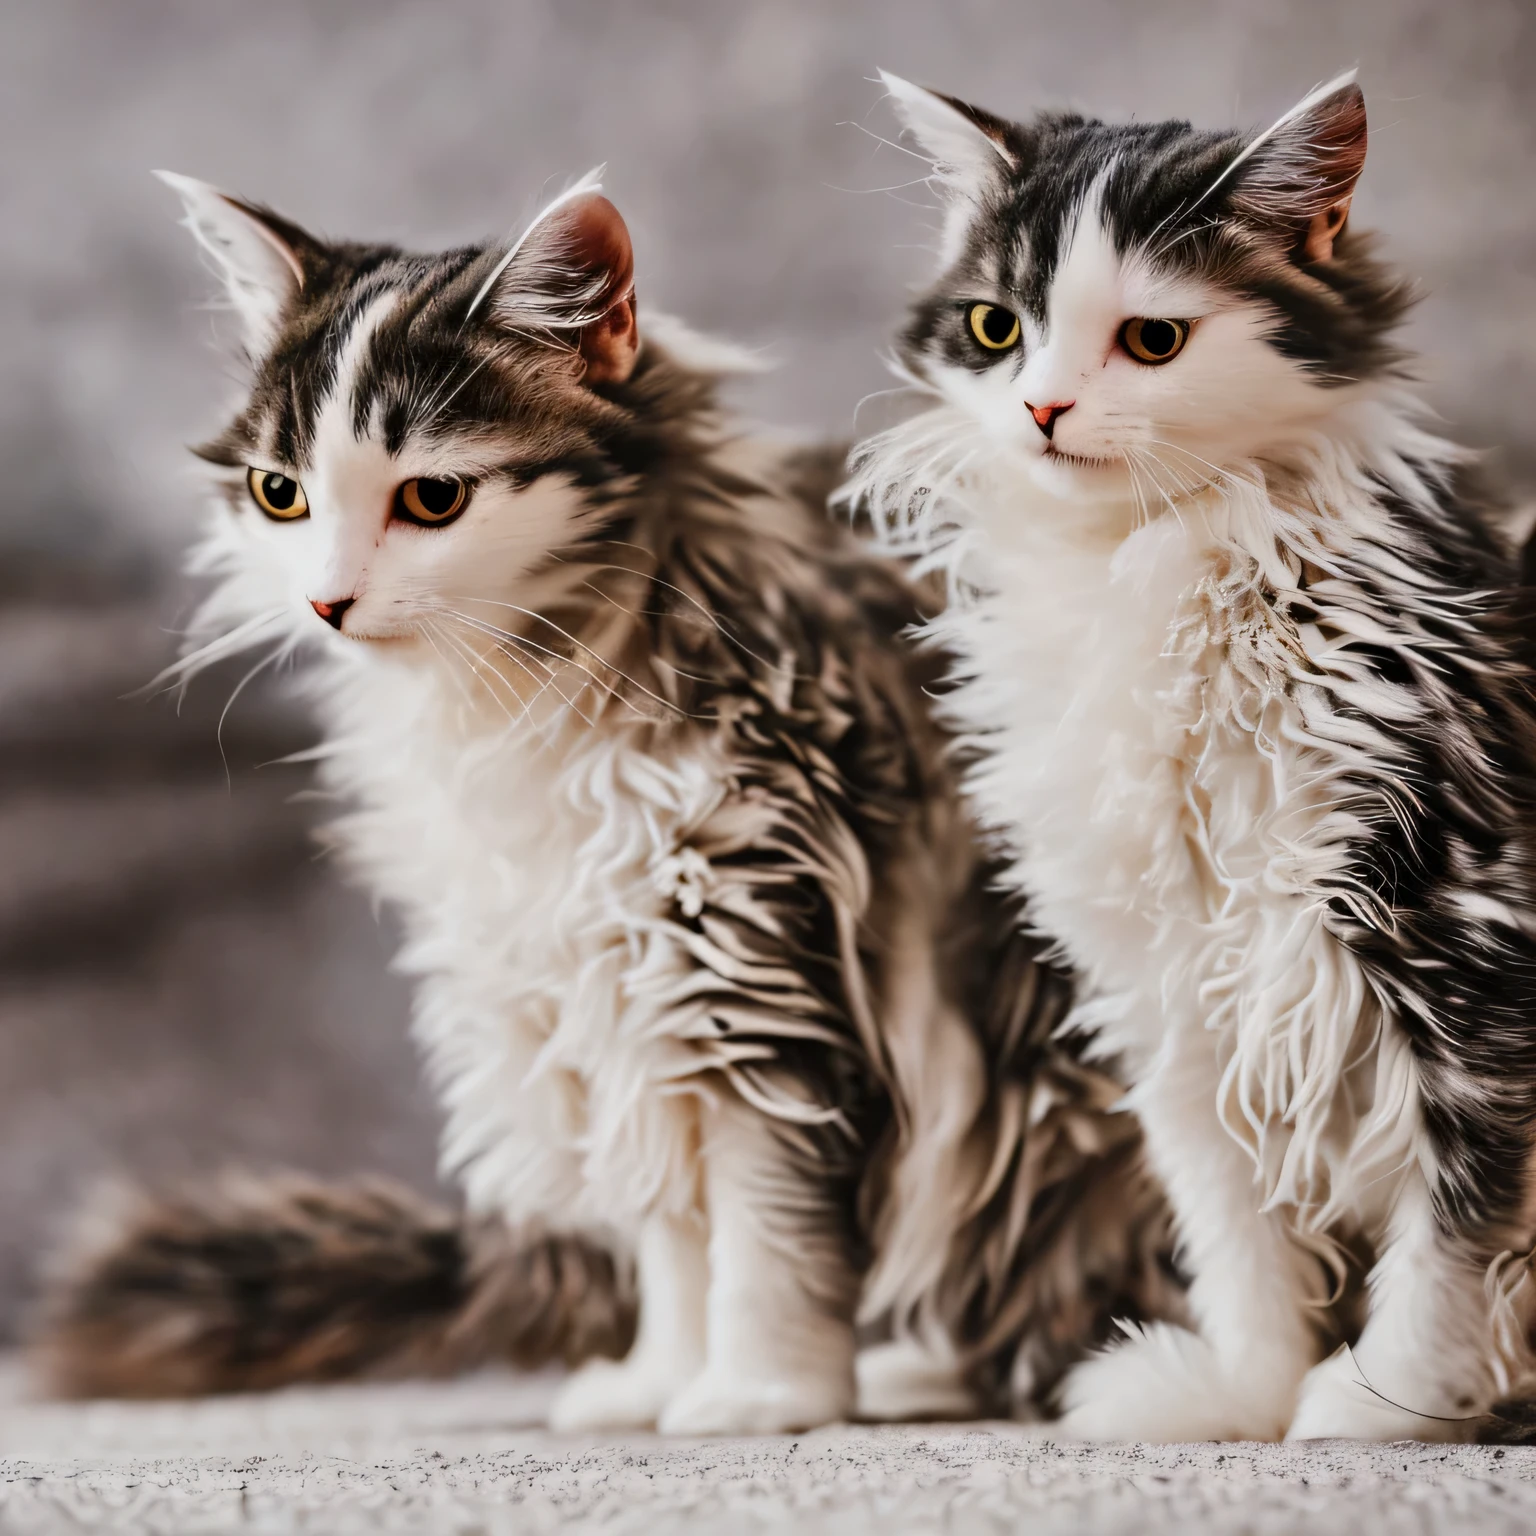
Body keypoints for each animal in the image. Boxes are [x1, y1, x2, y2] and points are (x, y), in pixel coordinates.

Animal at [38, 168, 1173, 1425]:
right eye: (279, 495)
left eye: (433, 498)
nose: (329, 601)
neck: (523, 696)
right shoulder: (608, 982)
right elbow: (677, 1233)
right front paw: (660, 1380)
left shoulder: (763, 958)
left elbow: (772, 1229)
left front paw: (764, 1394)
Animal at [854, 72, 1536, 1437]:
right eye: (997, 327)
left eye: (1154, 341)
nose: (1043, 408)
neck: (1154, 561)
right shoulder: (1173, 980)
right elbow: (1235, 1219)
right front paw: (1247, 1392)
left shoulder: (1464, 934)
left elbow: (1460, 1221)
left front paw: (1390, 1402)